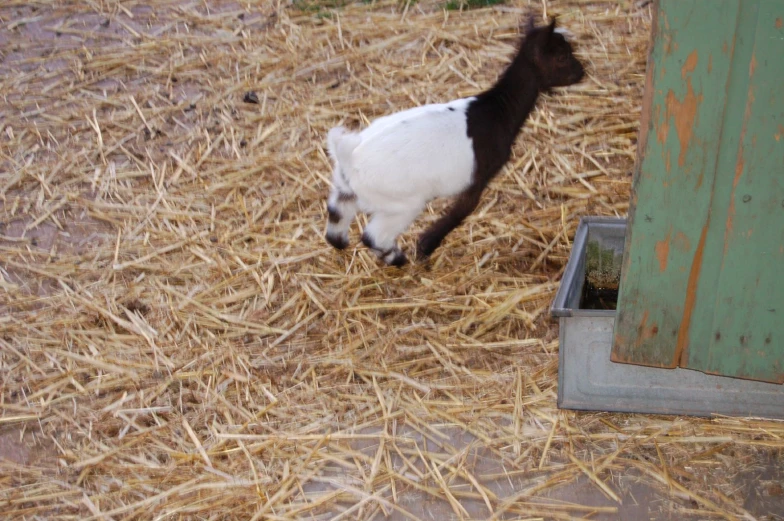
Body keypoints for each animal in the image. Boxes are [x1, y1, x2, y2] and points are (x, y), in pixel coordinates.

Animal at [322, 16, 584, 266]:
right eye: (562, 56)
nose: (582, 71)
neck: (497, 111)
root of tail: (349, 155)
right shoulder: (479, 176)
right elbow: (463, 210)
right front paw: (426, 246)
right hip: (402, 200)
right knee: (373, 235)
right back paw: (398, 259)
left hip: (346, 189)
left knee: (335, 219)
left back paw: (347, 243)